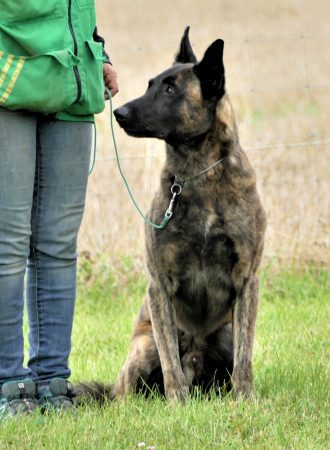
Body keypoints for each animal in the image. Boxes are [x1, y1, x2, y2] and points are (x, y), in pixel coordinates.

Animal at [77, 27, 266, 400]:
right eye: (150, 84)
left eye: (170, 90)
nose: (119, 112)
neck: (198, 174)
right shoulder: (159, 285)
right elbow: (170, 366)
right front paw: (178, 404)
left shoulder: (246, 281)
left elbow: (245, 357)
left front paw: (246, 399)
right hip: (143, 345)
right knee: (136, 386)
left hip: (224, 331)